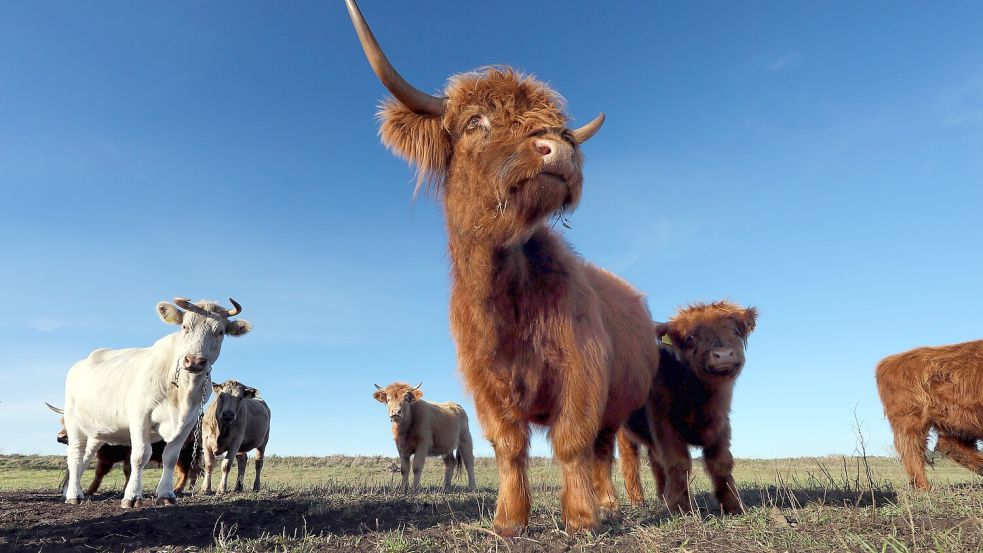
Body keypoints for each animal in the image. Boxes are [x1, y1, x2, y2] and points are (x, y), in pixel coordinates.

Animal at [63, 296, 250, 506]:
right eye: (184, 326)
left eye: (220, 332)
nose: (194, 361)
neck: (183, 391)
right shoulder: (139, 415)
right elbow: (140, 456)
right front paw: (132, 496)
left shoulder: (188, 422)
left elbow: (171, 457)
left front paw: (166, 494)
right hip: (73, 420)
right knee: (75, 455)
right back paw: (73, 495)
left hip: (98, 430)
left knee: (86, 457)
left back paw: (74, 491)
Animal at [346, 0, 660, 536]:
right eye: (475, 120)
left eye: (557, 122)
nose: (559, 147)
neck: (504, 292)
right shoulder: (485, 381)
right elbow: (510, 447)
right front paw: (510, 519)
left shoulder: (582, 370)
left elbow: (571, 442)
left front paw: (581, 519)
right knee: (603, 449)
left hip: (630, 403)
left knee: (616, 447)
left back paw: (620, 503)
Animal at [620, 302, 756, 512]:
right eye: (691, 337)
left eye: (735, 332)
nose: (723, 354)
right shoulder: (664, 425)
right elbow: (678, 463)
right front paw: (679, 507)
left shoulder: (721, 423)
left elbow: (721, 462)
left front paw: (734, 505)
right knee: (628, 461)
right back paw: (629, 501)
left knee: (654, 459)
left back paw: (662, 497)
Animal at [876, 336, 983, 488]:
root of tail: (889, 362)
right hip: (910, 418)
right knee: (911, 449)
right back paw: (925, 488)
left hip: (959, 420)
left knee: (950, 445)